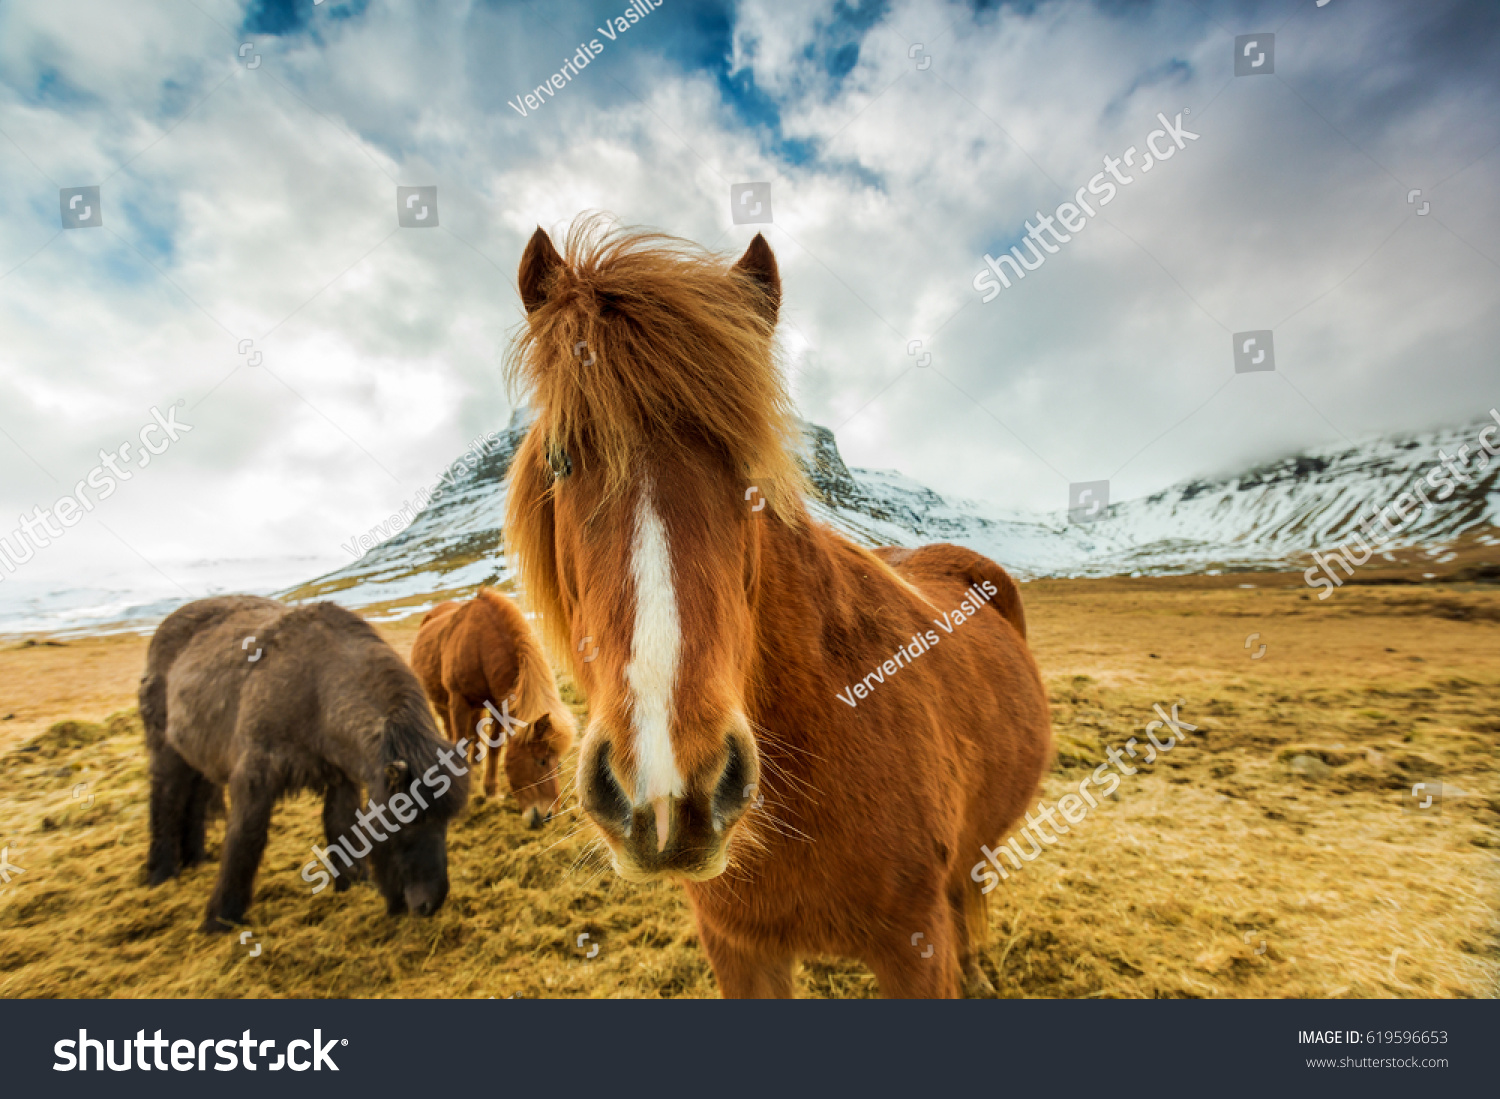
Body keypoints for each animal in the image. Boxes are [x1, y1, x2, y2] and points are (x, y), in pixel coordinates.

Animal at [139, 595, 470, 931]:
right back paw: (161, 874)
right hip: (167, 753)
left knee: (192, 803)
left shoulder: (341, 777)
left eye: (445, 822)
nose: (430, 905)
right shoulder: (254, 777)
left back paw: (195, 859)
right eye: (406, 821)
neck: (315, 687)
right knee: (166, 801)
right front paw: (221, 919)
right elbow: (246, 840)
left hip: (198, 760)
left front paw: (351, 884)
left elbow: (341, 825)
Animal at [410, 587, 576, 826]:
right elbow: (460, 743)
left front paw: (491, 793)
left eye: (559, 764)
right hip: (442, 704)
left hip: (476, 707)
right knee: (450, 731)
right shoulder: (458, 701)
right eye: (541, 761)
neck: (479, 645)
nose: (546, 816)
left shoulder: (498, 706)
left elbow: (494, 748)